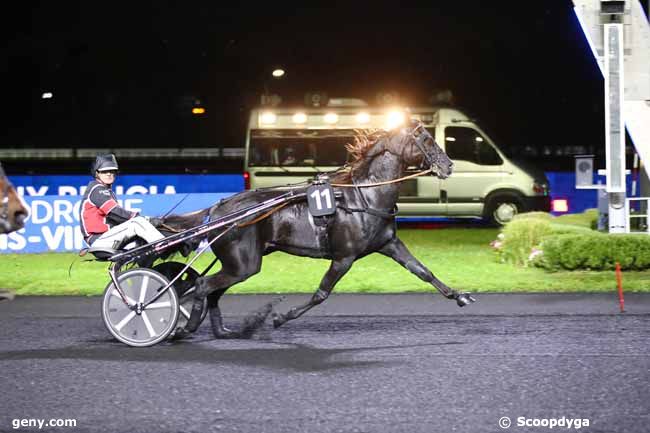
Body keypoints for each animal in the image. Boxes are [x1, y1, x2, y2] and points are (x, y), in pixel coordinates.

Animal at [165, 120, 474, 338]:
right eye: (426, 139)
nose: (449, 165)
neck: (364, 195)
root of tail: (219, 208)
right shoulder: (344, 257)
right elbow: (321, 294)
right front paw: (280, 317)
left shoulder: (389, 244)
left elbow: (423, 271)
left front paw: (459, 295)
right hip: (244, 264)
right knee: (203, 286)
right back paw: (183, 330)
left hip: (240, 264)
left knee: (212, 290)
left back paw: (222, 331)